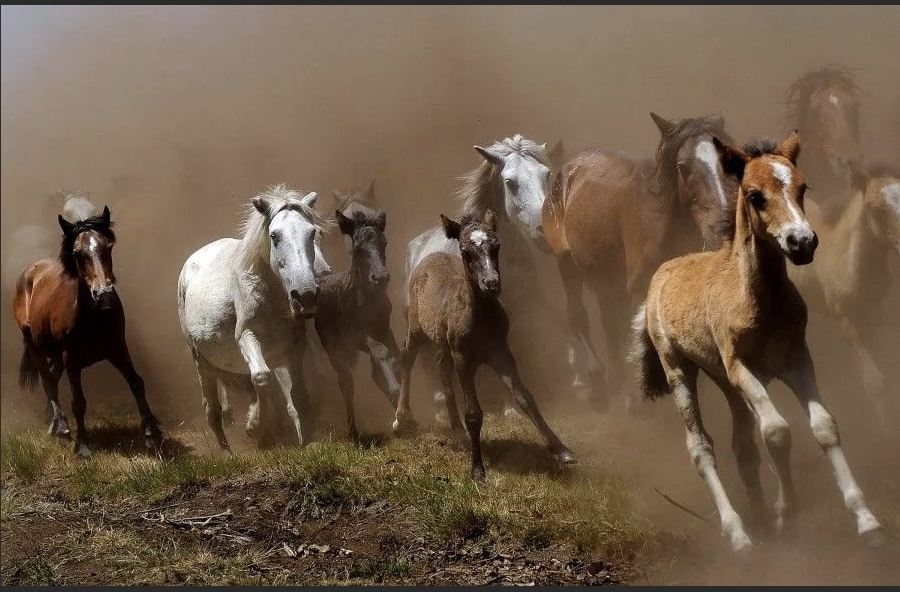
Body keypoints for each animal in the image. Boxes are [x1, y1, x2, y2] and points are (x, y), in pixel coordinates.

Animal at [12, 208, 162, 458]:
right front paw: (82, 446)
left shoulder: (118, 348)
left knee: (52, 379)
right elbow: (78, 402)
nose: (104, 295)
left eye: (108, 247)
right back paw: (61, 426)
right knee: (48, 383)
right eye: (77, 253)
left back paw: (54, 423)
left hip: (57, 354)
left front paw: (152, 433)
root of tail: (29, 271)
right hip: (35, 346)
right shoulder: (72, 360)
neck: (93, 317)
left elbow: (136, 382)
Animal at [177, 185, 330, 448]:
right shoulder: (247, 337)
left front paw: (305, 441)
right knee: (212, 410)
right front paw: (254, 426)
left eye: (312, 233)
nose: (306, 295)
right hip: (200, 359)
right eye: (274, 236)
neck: (271, 298)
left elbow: (297, 394)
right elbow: (261, 378)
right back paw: (228, 450)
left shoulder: (294, 346)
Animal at [540, 112, 740, 412]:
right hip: (567, 264)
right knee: (579, 317)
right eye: (682, 167)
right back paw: (598, 384)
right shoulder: (637, 290)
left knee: (608, 324)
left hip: (606, 281)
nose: (723, 227)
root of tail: (567, 170)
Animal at [628, 133, 884, 552]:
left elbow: (824, 426)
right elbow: (777, 432)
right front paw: (787, 512)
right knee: (701, 447)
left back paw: (760, 517)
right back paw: (738, 534)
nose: (802, 242)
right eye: (754, 195)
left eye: (803, 187)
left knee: (742, 446)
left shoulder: (796, 361)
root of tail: (660, 275)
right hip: (679, 369)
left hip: (724, 382)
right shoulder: (742, 369)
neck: (762, 302)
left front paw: (866, 521)